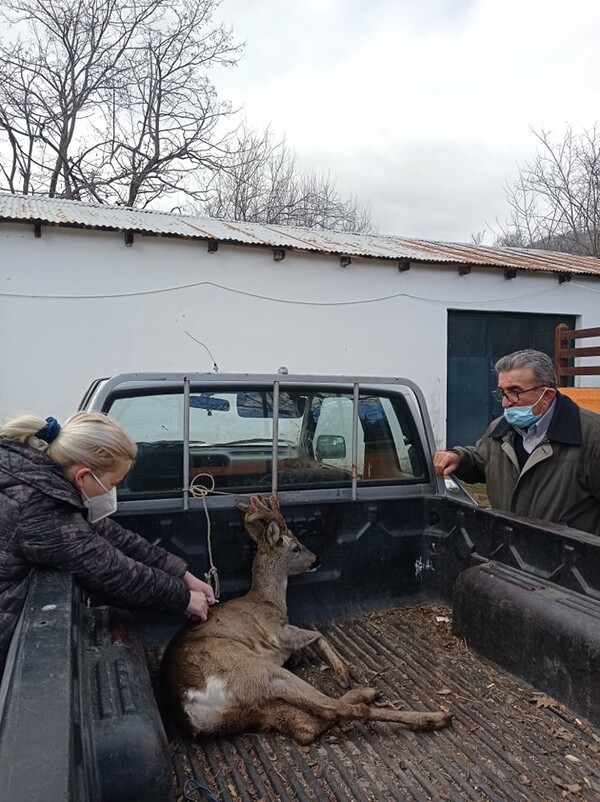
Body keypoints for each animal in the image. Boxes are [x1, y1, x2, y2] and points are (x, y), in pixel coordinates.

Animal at [159, 494, 450, 744]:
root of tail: (188, 705)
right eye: (297, 547)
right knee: (333, 708)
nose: (317, 559)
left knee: (307, 727)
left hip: (254, 708)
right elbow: (317, 635)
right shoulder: (276, 630)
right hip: (257, 670)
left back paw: (368, 693)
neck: (269, 599)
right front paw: (341, 671)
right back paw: (432, 716)